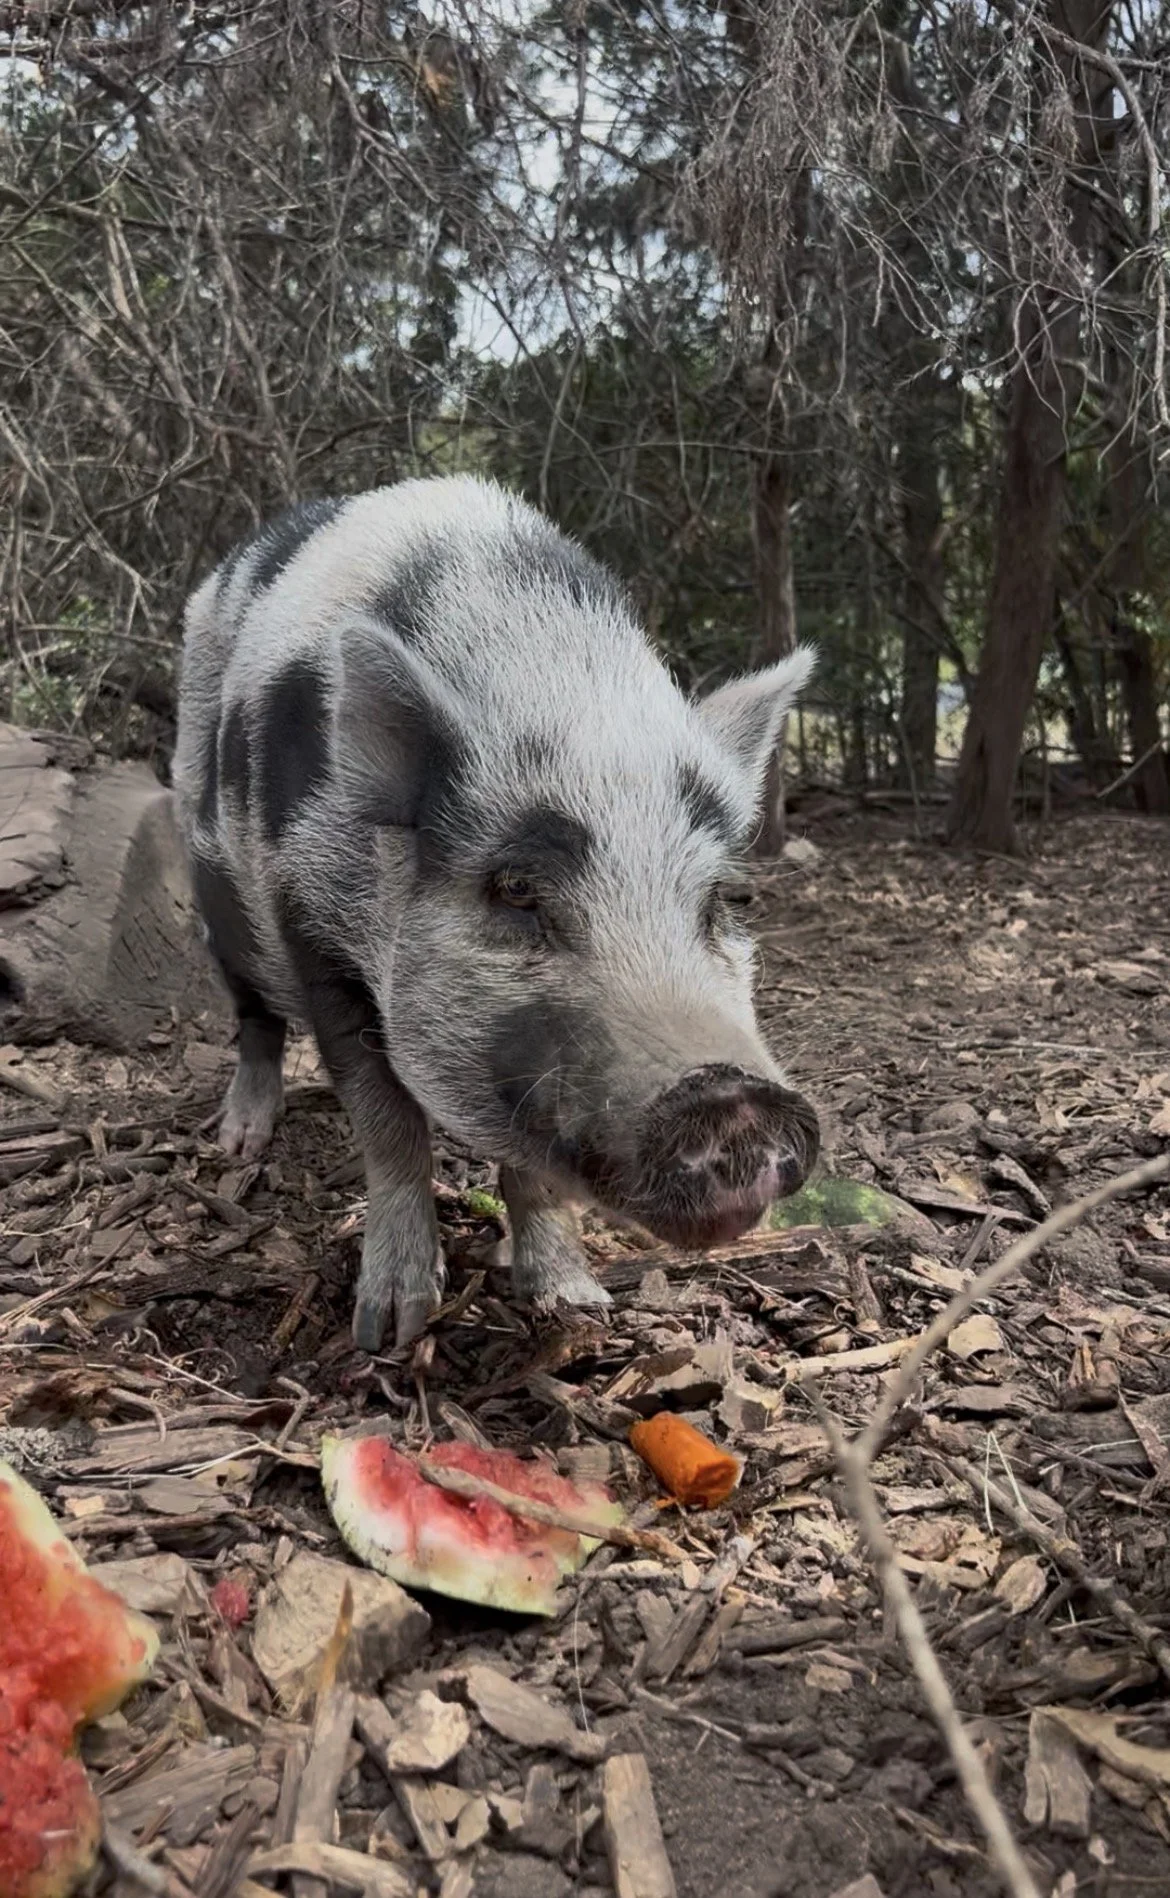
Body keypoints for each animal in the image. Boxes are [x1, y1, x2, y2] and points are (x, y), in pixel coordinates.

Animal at [173, 476, 820, 1350]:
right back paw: (240, 1140)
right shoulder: (307, 920)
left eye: (721, 897)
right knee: (251, 1013)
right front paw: (390, 1329)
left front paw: (575, 1301)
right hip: (212, 867)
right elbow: (388, 1123)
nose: (730, 1096)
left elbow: (531, 1172)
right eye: (514, 887)